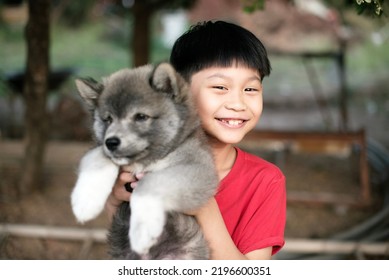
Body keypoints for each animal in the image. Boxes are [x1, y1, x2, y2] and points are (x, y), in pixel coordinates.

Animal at [70, 62, 218, 260]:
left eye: (140, 117)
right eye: (108, 119)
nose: (111, 142)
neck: (145, 161)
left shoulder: (198, 169)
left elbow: (149, 184)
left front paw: (142, 231)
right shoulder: (97, 150)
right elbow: (98, 160)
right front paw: (86, 200)